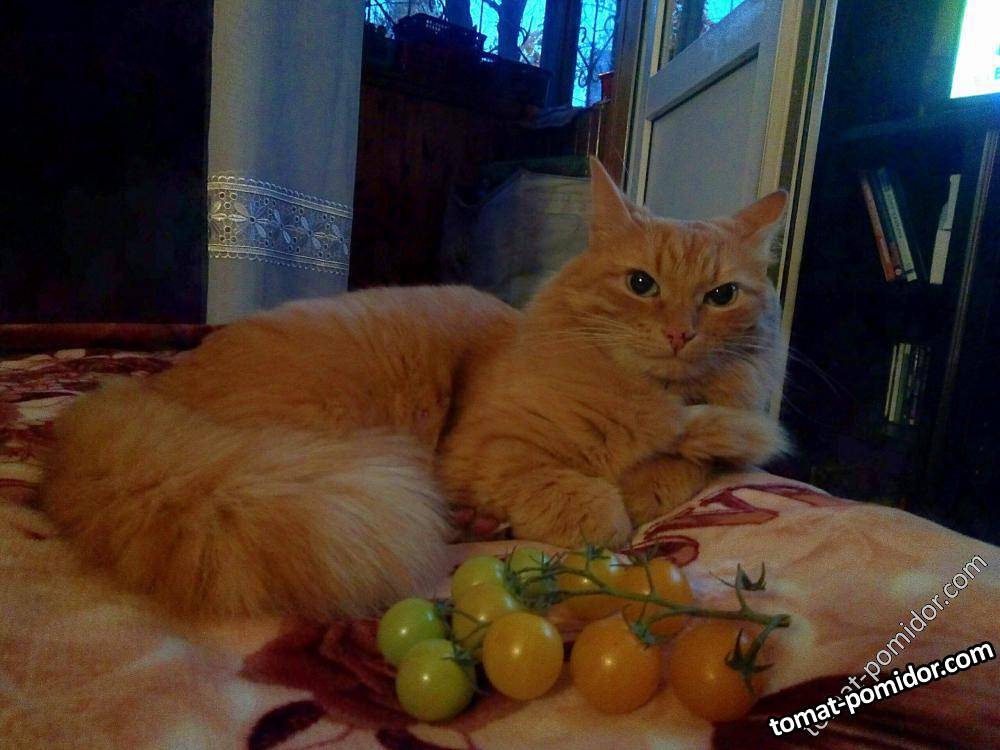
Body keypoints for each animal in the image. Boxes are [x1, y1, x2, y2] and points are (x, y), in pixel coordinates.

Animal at [41, 159, 786, 621]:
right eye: (640, 285)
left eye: (721, 297)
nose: (681, 334)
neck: (646, 395)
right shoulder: (486, 447)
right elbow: (581, 494)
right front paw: (607, 512)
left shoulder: (712, 446)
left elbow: (680, 471)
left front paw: (653, 477)